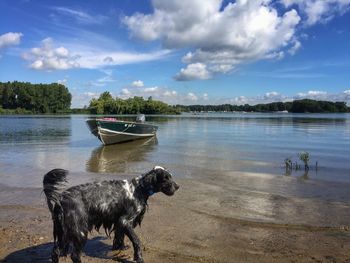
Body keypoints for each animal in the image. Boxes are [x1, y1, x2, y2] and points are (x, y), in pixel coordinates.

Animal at [43, 167, 180, 263]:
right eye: (166, 178)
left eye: (171, 177)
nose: (178, 186)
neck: (139, 188)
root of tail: (60, 200)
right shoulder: (125, 220)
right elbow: (136, 241)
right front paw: (138, 257)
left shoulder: (119, 221)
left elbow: (119, 237)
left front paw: (120, 248)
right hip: (79, 231)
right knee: (75, 255)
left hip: (63, 233)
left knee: (55, 251)